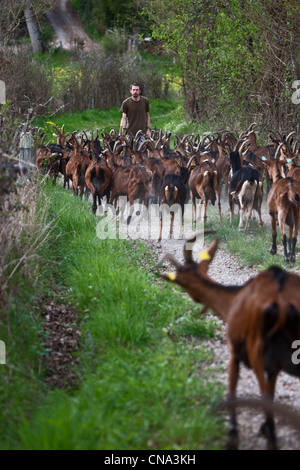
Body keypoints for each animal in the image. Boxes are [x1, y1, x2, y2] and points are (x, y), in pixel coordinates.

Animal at [158, 231, 300, 452]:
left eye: (181, 281)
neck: (233, 299)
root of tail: (282, 304)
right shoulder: (274, 367)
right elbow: (270, 393)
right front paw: (264, 428)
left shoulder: (234, 352)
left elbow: (233, 392)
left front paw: (233, 433)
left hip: (256, 351)